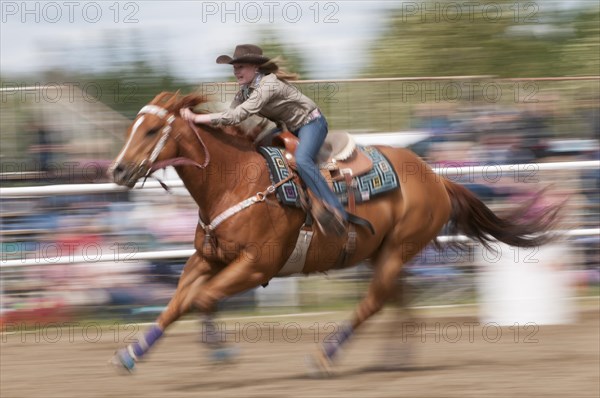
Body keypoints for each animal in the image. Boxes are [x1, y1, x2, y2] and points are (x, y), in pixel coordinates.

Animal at [108, 92, 556, 374]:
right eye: (132, 127)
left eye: (152, 131)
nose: (117, 169)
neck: (234, 182)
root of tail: (435, 178)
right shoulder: (207, 259)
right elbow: (177, 304)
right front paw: (131, 354)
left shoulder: (256, 265)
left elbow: (201, 300)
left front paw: (222, 354)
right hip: (385, 253)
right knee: (399, 301)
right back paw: (396, 359)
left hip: (398, 248)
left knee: (374, 302)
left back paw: (325, 358)